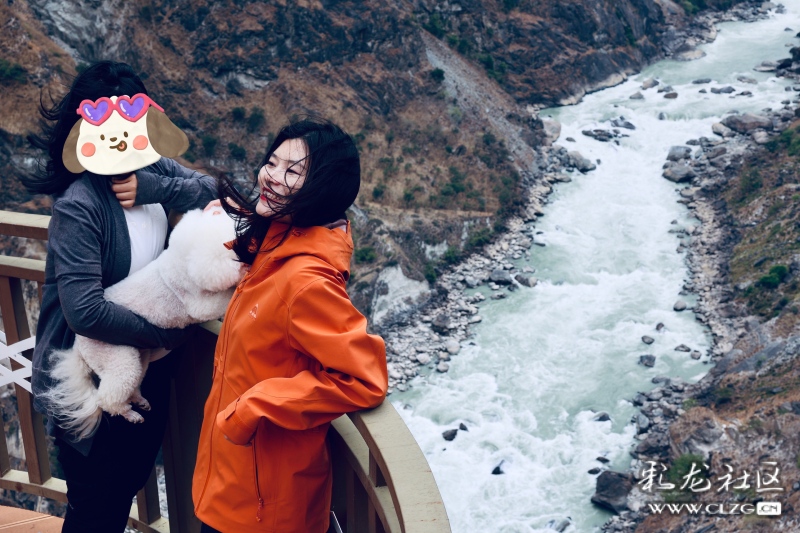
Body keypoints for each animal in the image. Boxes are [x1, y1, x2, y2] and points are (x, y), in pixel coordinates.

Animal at [42, 207, 244, 439]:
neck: (181, 262)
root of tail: (78, 347)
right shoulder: (197, 301)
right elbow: (216, 302)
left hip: (141, 356)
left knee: (134, 382)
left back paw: (138, 400)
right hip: (116, 358)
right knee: (109, 397)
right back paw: (130, 414)